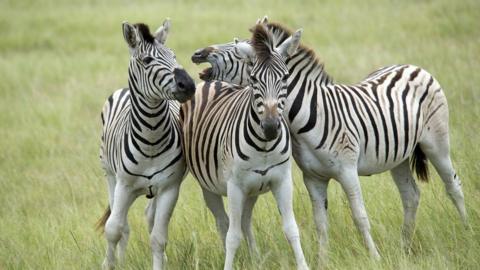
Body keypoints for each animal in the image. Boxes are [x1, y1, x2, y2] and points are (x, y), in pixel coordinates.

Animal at [96, 19, 196, 270]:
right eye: (148, 60)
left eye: (173, 55)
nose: (189, 85)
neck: (152, 137)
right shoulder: (124, 185)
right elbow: (113, 229)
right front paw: (109, 264)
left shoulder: (169, 188)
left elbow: (158, 238)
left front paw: (160, 262)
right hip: (110, 177)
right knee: (122, 224)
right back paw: (120, 261)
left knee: (149, 218)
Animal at [179, 24, 308, 268]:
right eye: (254, 79)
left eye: (285, 77)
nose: (270, 127)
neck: (264, 146)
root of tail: (214, 81)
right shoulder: (235, 186)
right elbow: (232, 236)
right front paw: (229, 264)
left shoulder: (282, 181)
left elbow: (292, 229)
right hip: (209, 187)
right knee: (224, 222)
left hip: (252, 190)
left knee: (245, 221)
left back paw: (255, 259)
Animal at [189, 16, 466, 260]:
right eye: (249, 64)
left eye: (240, 53)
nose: (198, 54)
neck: (306, 117)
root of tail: (410, 66)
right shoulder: (313, 177)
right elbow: (320, 222)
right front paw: (323, 260)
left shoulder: (347, 170)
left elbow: (360, 216)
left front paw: (375, 258)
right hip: (398, 157)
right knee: (411, 196)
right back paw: (404, 247)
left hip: (437, 143)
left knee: (453, 186)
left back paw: (466, 230)